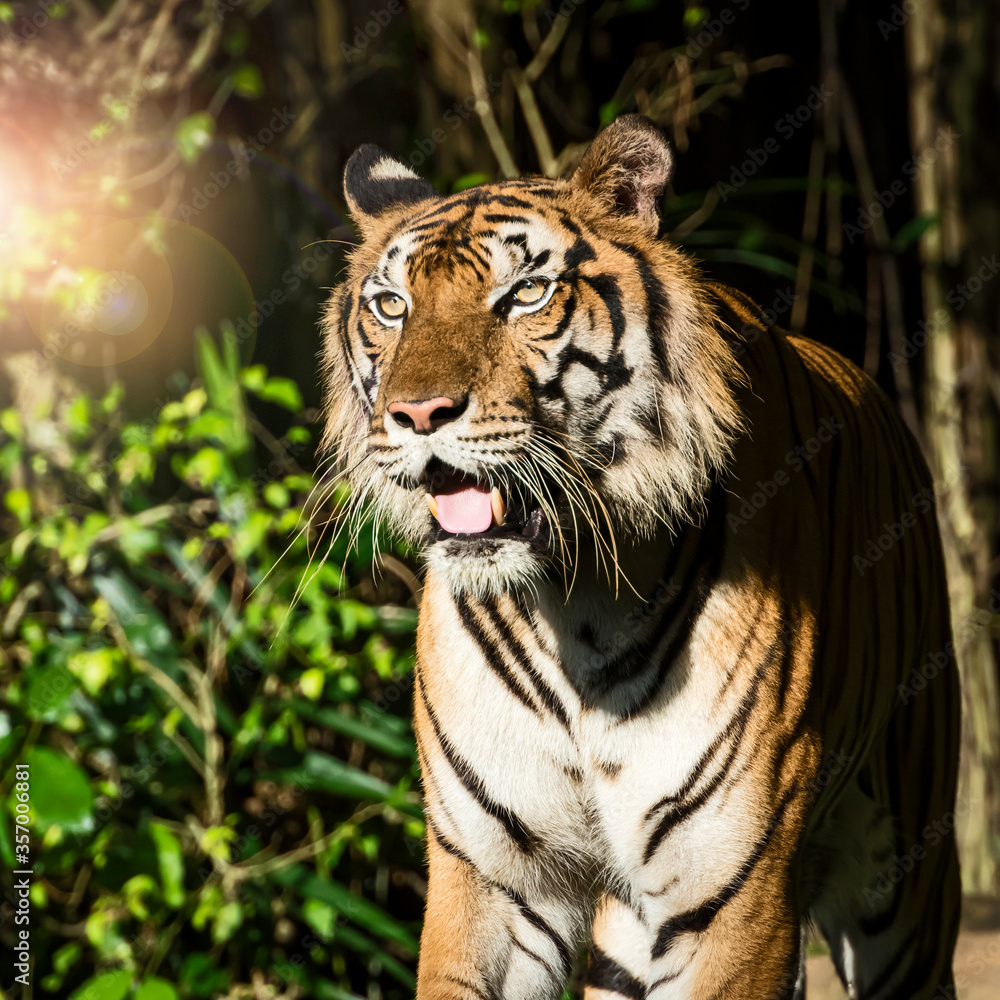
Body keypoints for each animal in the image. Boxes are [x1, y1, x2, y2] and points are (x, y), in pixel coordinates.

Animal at [320, 114, 961, 1000]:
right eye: (391, 305)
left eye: (525, 293)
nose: (417, 413)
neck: (566, 606)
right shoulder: (493, 874)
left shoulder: (729, 887)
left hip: (905, 884)